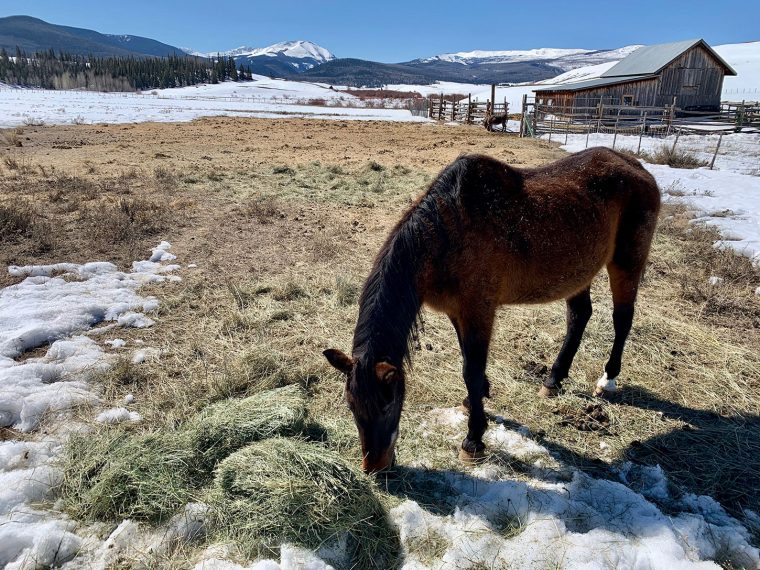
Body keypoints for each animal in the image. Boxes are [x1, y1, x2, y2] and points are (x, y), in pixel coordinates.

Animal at [324, 147, 660, 473]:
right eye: (351, 406)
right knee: (579, 316)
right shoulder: (457, 312)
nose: (374, 467)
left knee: (622, 319)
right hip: (580, 272)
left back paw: (607, 380)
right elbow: (468, 364)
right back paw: (553, 380)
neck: (446, 233)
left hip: (626, 262)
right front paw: (473, 402)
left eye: (388, 403)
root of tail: (638, 168)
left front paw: (473, 440)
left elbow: (472, 370)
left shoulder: (479, 310)